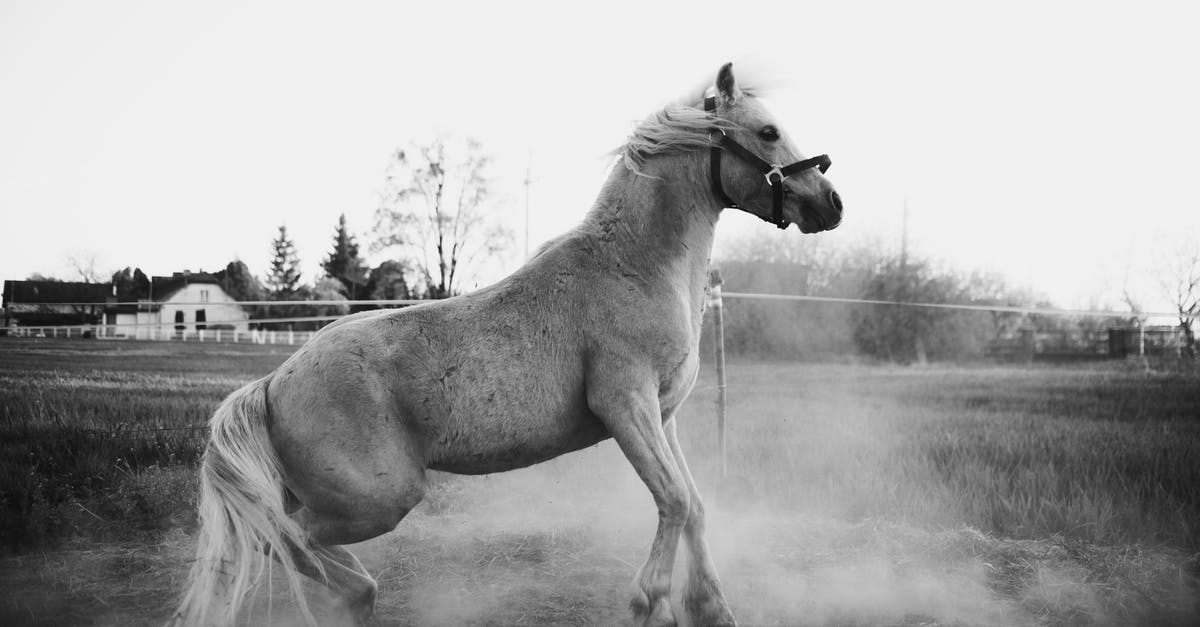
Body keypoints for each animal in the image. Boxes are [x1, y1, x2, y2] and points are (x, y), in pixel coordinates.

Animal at [174, 62, 842, 627]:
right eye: (768, 131)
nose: (831, 203)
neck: (634, 267)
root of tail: (272, 384)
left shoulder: (663, 414)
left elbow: (695, 504)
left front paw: (711, 608)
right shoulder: (625, 405)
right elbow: (675, 501)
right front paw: (649, 601)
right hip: (380, 499)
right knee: (283, 538)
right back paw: (358, 591)